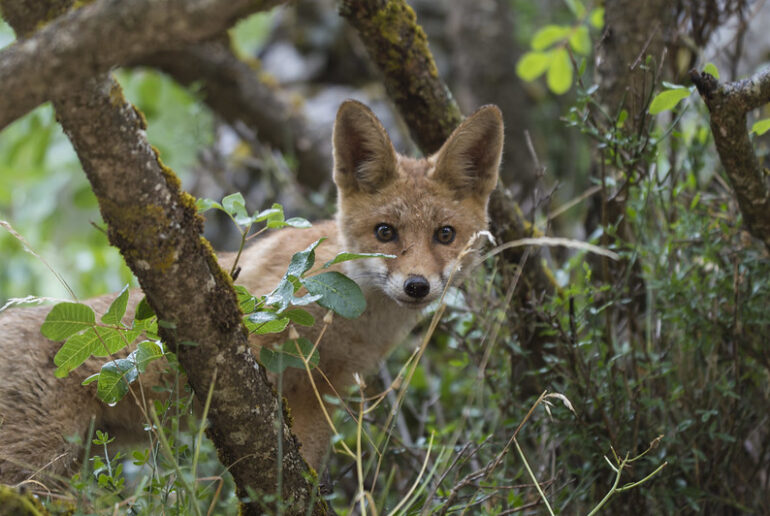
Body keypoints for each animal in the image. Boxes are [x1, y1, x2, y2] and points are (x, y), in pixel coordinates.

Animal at [0, 100, 504, 484]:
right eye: (385, 232)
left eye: (444, 235)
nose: (417, 286)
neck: (352, 320)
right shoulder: (256, 356)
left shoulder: (321, 393)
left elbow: (305, 469)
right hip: (37, 466)